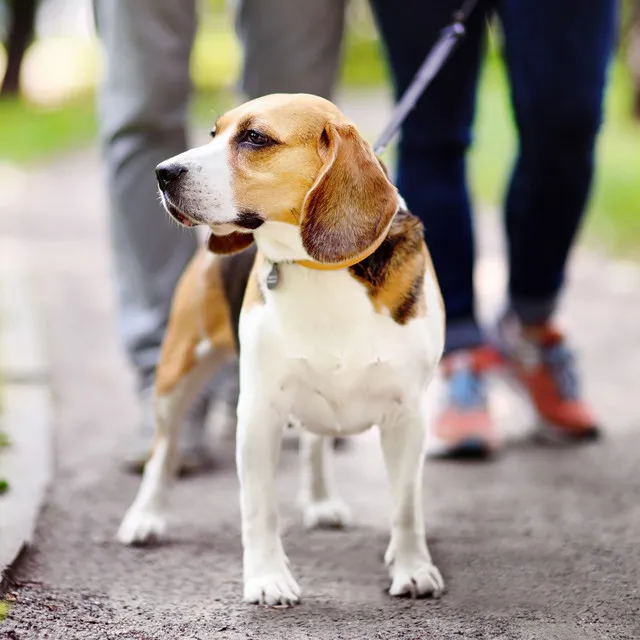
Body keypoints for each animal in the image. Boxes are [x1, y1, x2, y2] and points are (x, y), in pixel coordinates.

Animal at [116, 91, 444, 604]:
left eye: (255, 137)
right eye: (213, 133)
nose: (163, 172)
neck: (320, 269)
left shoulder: (409, 415)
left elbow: (406, 506)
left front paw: (412, 568)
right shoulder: (257, 415)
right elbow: (259, 508)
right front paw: (268, 579)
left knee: (315, 442)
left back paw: (322, 500)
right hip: (175, 376)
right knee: (163, 452)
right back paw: (144, 518)